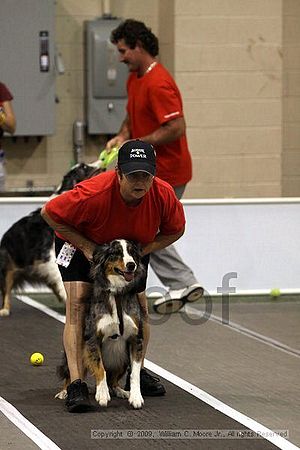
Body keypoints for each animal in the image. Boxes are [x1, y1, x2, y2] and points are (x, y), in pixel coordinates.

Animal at [0, 163, 101, 316]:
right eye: (84, 167)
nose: (101, 163)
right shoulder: (53, 255)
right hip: (9, 266)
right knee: (6, 289)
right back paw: (5, 310)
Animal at [56, 241, 147, 410]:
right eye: (116, 253)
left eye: (132, 252)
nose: (131, 265)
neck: (117, 293)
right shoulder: (93, 338)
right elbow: (100, 368)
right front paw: (102, 395)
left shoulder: (136, 339)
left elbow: (135, 373)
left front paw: (136, 397)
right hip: (79, 353)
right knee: (71, 372)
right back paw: (66, 391)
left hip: (122, 358)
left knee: (113, 380)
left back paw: (120, 391)